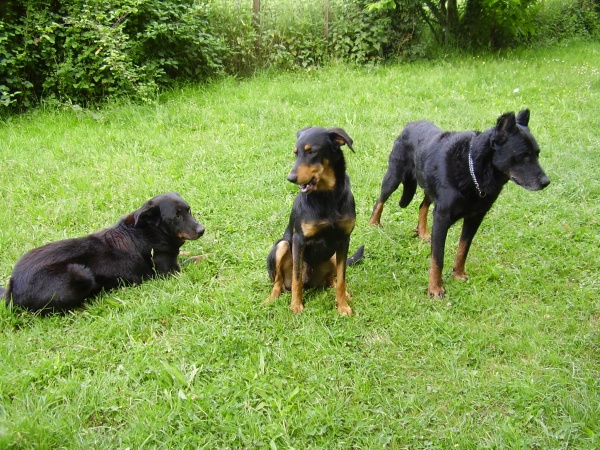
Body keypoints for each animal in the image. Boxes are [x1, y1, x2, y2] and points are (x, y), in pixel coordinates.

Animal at [1, 191, 205, 312]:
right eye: (177, 216)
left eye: (188, 210)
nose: (202, 230)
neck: (151, 229)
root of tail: (13, 285)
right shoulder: (168, 272)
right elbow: (193, 259)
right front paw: (205, 256)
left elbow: (187, 255)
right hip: (80, 273)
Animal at [266, 125, 360, 314]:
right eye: (296, 153)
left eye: (312, 152)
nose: (290, 178)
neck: (328, 196)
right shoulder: (299, 240)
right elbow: (297, 278)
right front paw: (296, 306)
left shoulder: (344, 240)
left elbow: (342, 278)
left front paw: (343, 306)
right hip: (282, 245)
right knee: (279, 282)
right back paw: (271, 299)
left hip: (333, 257)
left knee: (332, 281)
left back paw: (344, 294)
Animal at [368, 109, 552, 298]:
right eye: (524, 155)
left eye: (537, 153)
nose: (546, 182)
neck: (474, 171)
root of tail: (410, 124)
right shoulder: (442, 218)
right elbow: (438, 258)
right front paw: (435, 288)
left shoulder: (475, 218)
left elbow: (463, 249)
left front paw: (458, 274)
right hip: (394, 177)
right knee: (379, 201)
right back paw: (373, 223)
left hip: (429, 189)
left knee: (422, 206)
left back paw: (423, 232)